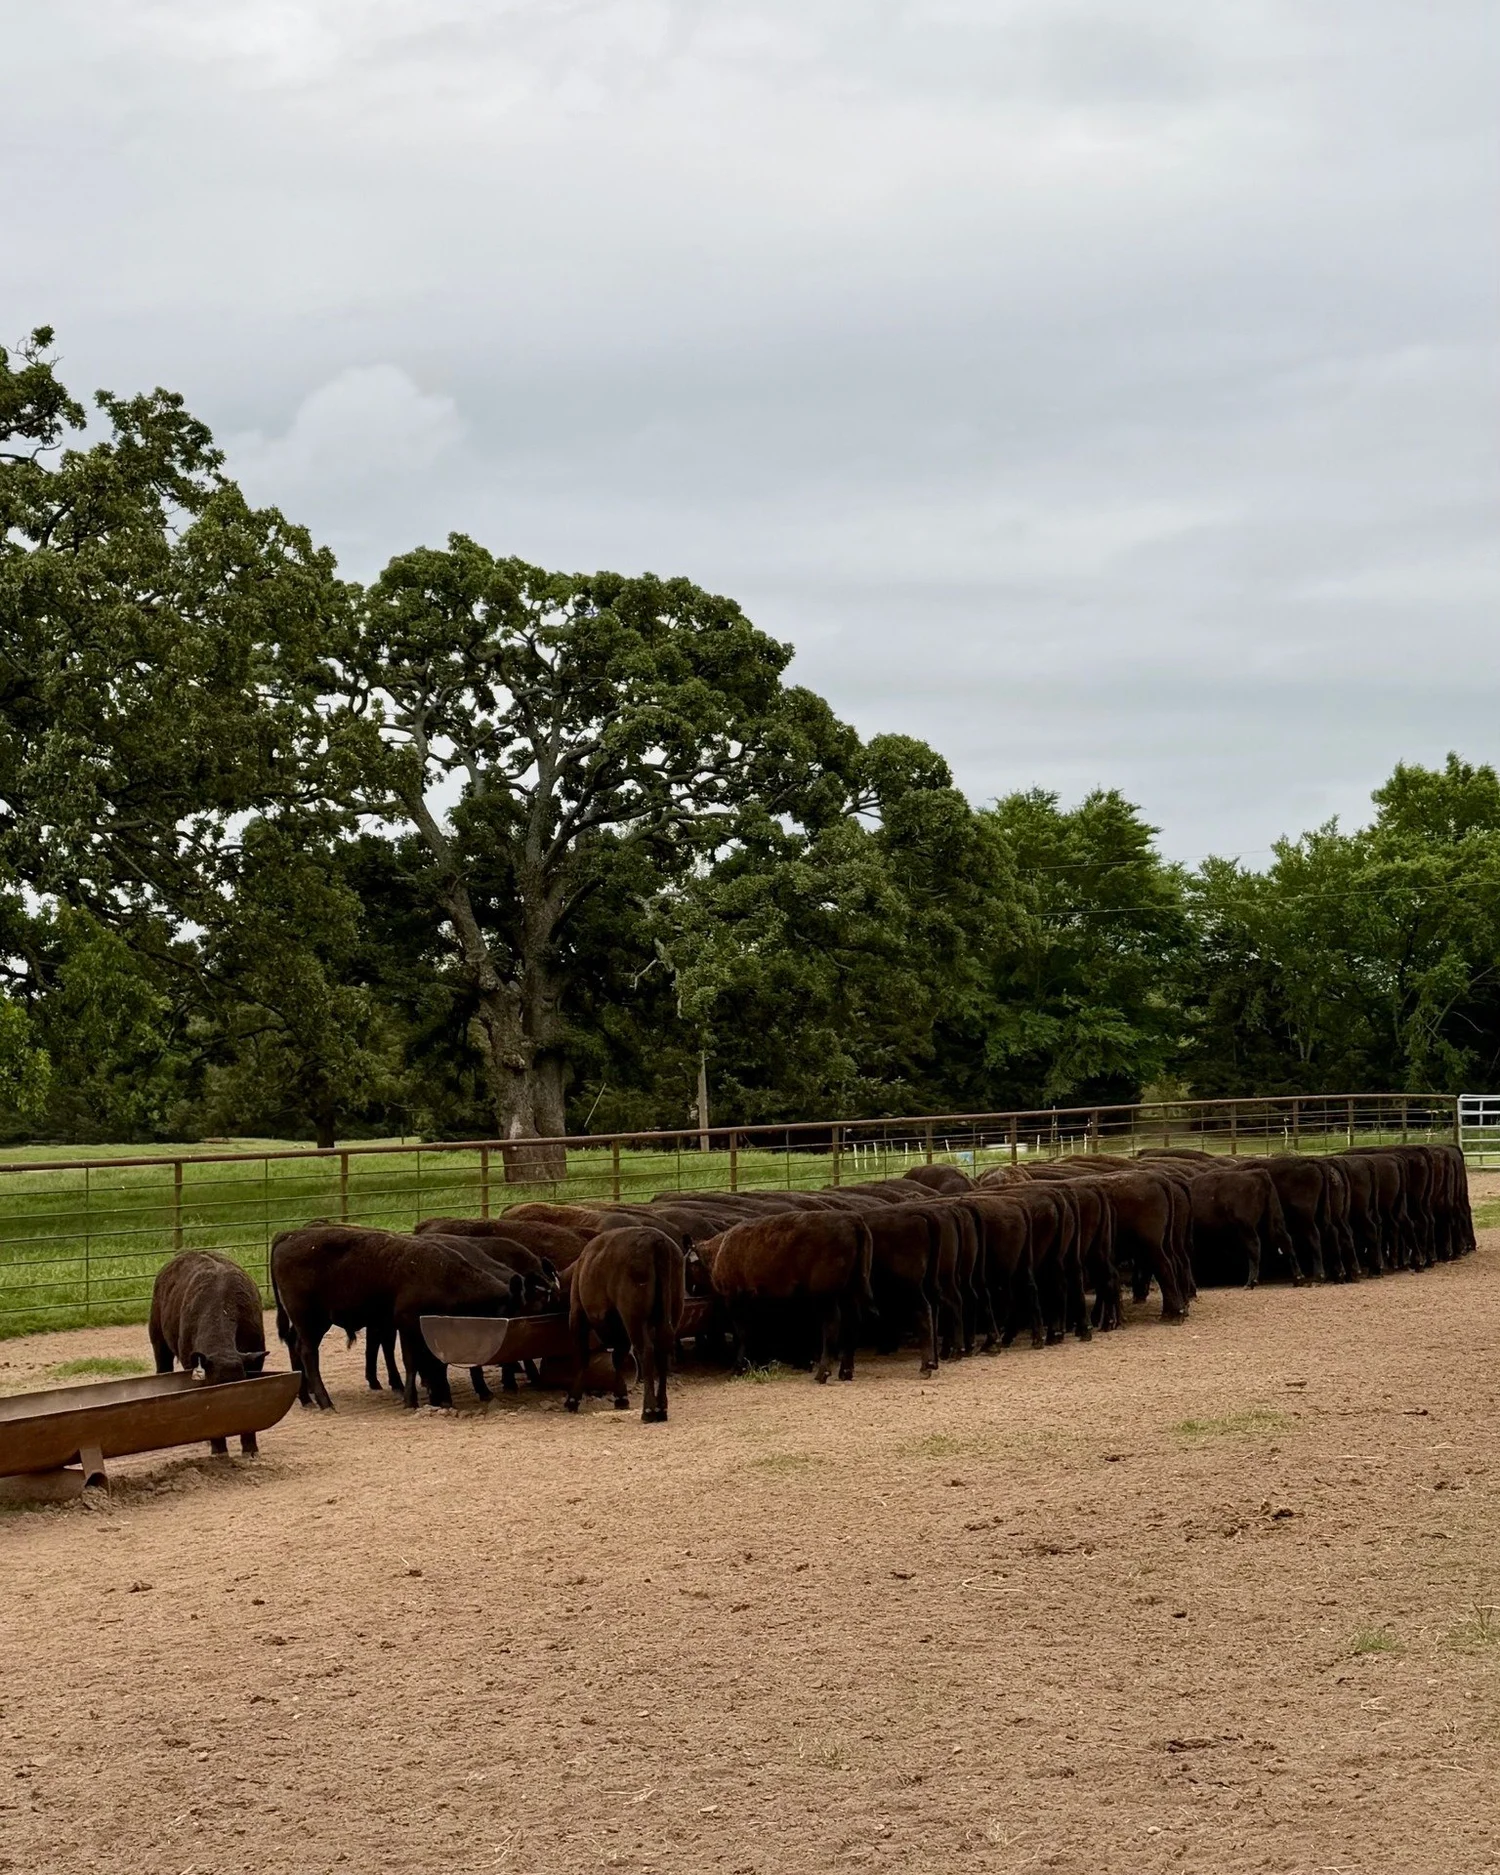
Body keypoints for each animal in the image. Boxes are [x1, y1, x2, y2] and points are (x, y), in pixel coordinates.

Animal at [564, 1226, 686, 1422]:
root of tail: (656, 1240)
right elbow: (617, 1357)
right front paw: (621, 1396)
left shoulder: (577, 1313)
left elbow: (583, 1355)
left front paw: (573, 1399)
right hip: (671, 1312)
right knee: (662, 1350)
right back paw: (661, 1408)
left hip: (634, 1316)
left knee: (646, 1350)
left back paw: (648, 1410)